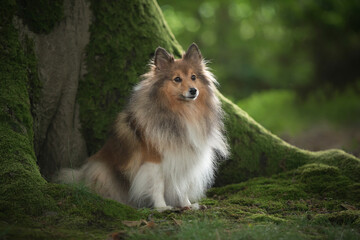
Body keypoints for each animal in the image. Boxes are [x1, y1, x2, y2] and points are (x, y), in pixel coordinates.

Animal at [58, 43, 229, 210]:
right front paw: (162, 207)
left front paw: (186, 205)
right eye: (177, 79)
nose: (193, 90)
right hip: (101, 171)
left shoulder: (184, 158)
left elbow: (182, 185)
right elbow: (157, 186)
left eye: (193, 77)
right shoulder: (154, 160)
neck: (183, 112)